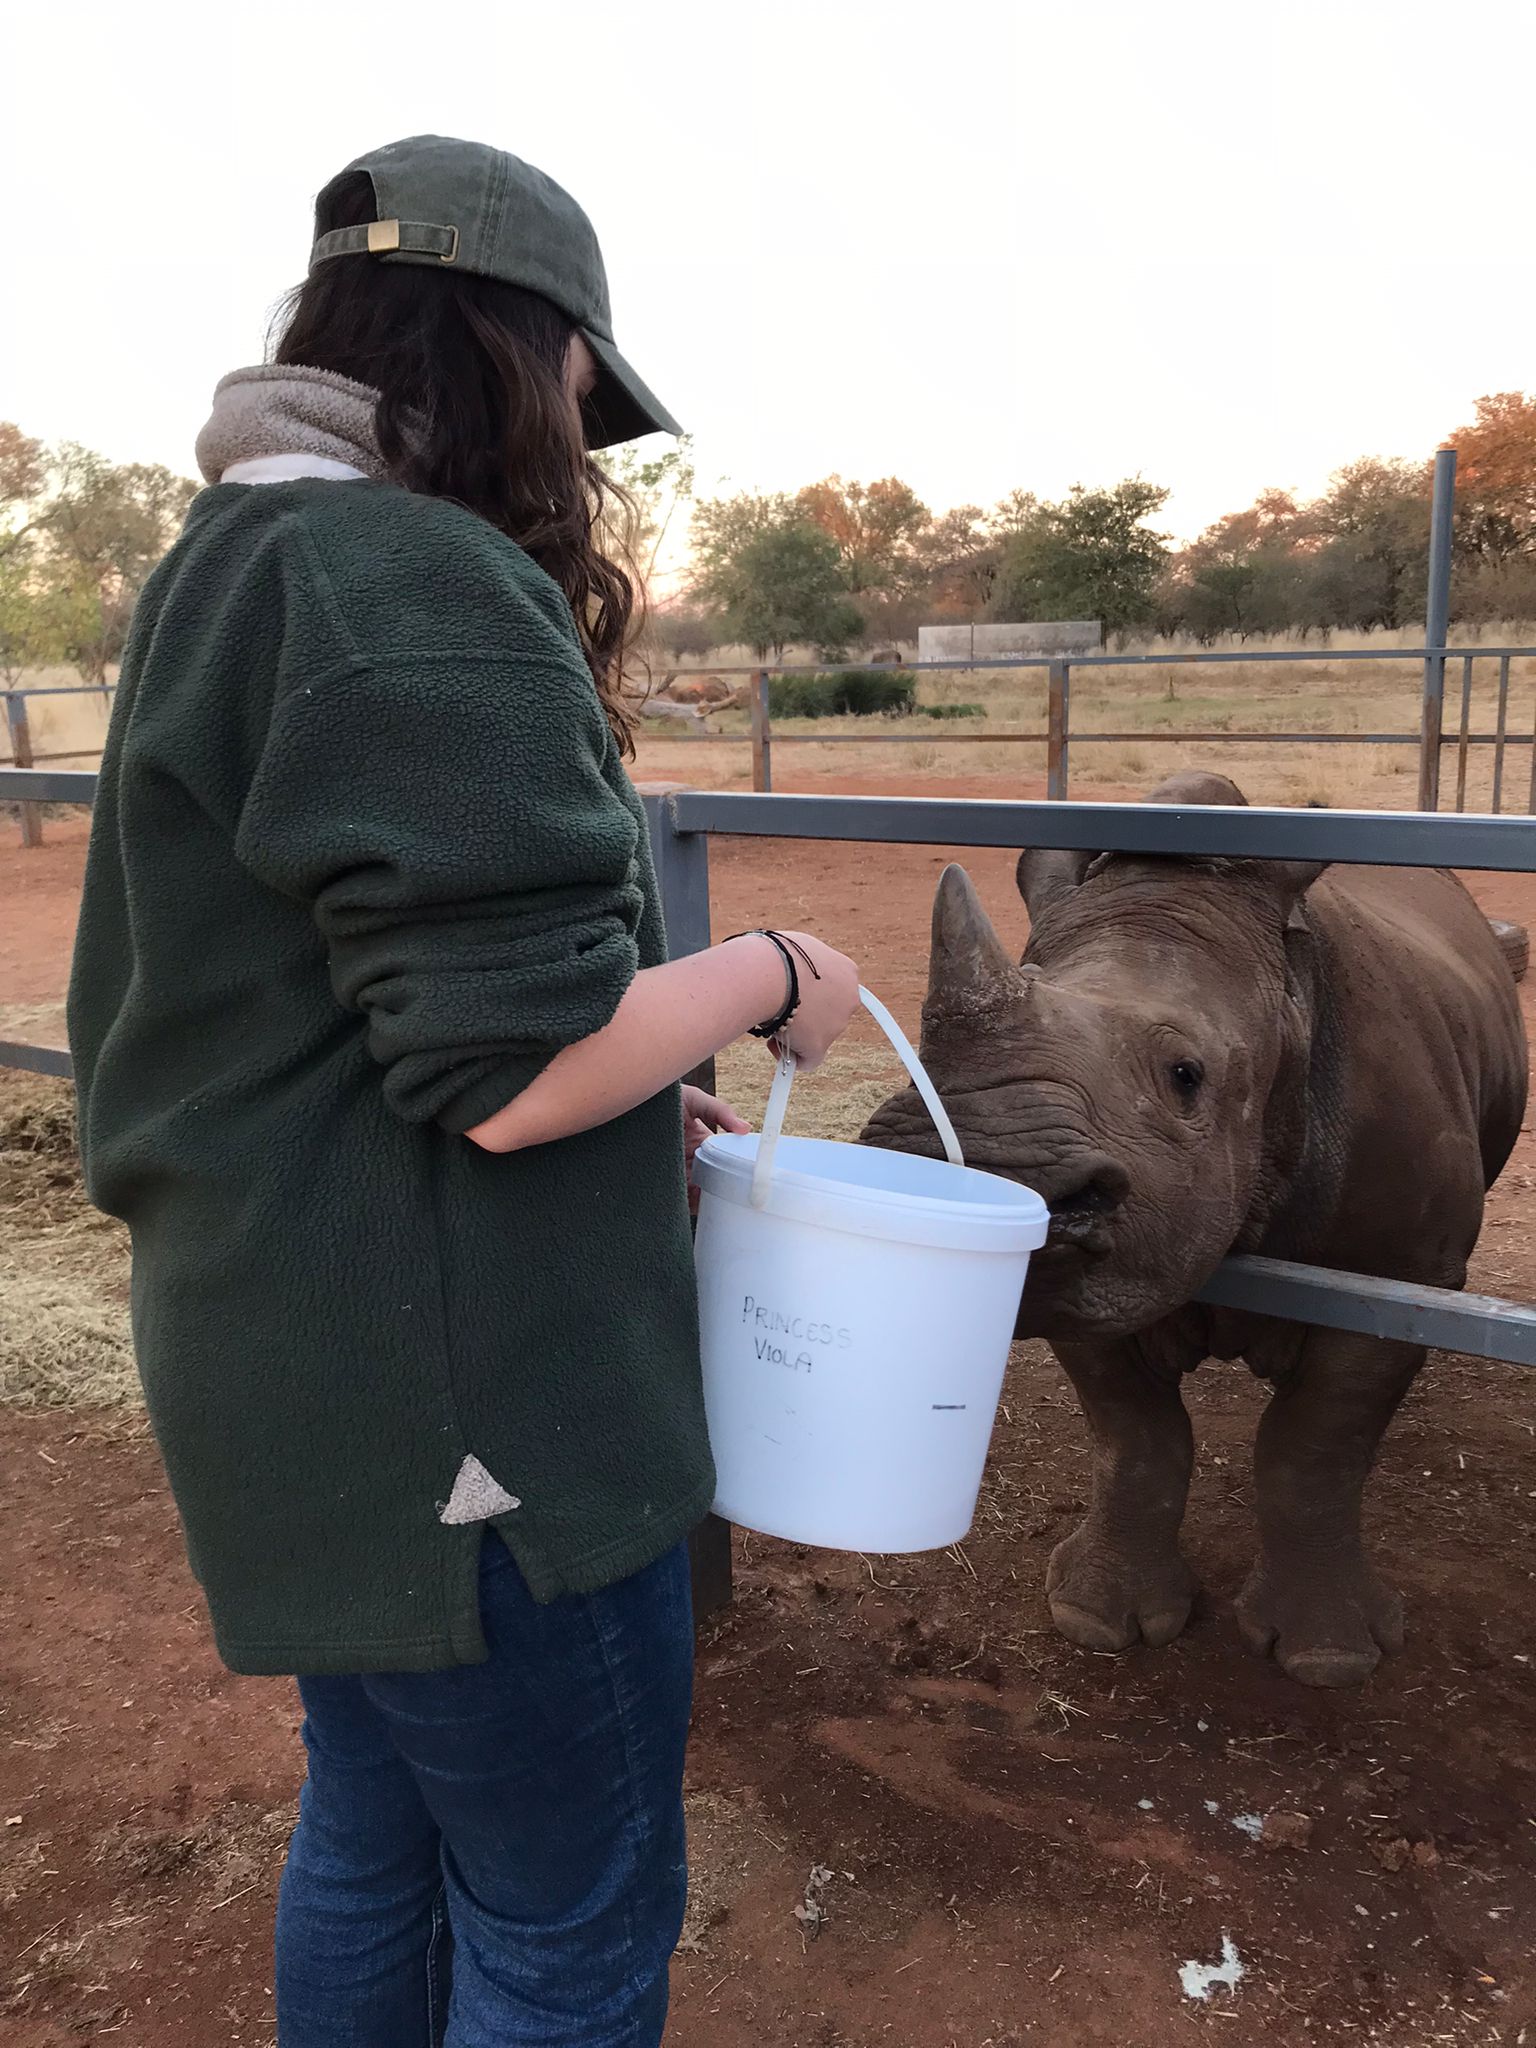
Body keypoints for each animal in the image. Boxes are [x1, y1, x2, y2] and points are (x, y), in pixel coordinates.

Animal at [864, 771, 1528, 1686]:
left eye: (1187, 1076)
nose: (979, 1174)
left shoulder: (1407, 1267)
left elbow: (1314, 1445)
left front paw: (1327, 1660)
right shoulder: (1103, 1270)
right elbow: (1135, 1433)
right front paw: (1098, 1619)